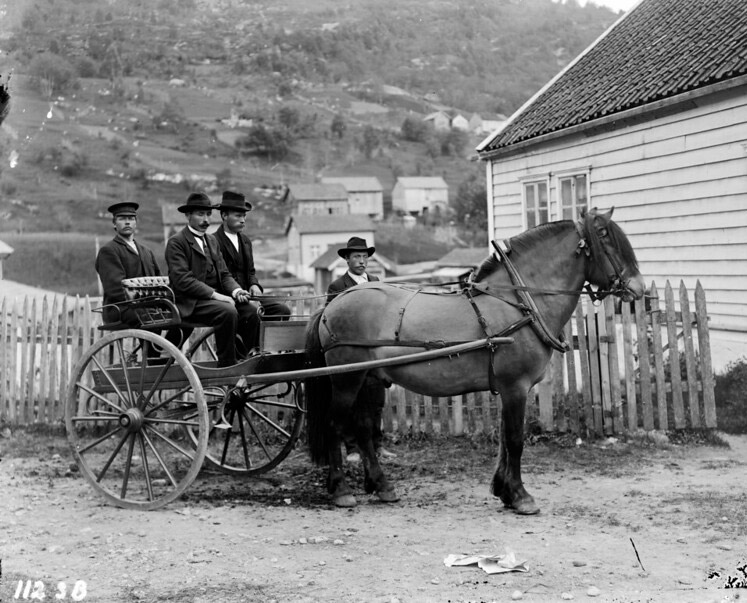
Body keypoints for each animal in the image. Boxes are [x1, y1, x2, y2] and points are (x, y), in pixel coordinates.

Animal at [304, 208, 648, 516]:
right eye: (606, 240)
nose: (639, 288)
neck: (520, 303)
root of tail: (332, 304)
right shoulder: (515, 387)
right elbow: (515, 439)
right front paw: (520, 496)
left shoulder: (509, 389)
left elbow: (504, 439)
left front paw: (504, 490)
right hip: (346, 380)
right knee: (335, 426)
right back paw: (341, 490)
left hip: (368, 379)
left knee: (363, 429)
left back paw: (382, 486)